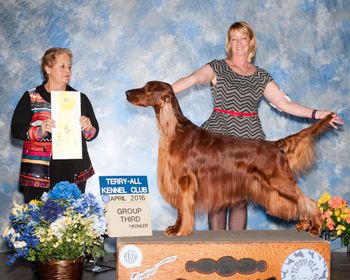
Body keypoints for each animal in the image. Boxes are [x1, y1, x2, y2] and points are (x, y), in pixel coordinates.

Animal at [126, 80, 334, 236]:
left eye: (148, 88)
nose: (127, 92)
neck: (176, 129)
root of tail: (276, 145)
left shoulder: (185, 180)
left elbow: (184, 209)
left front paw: (179, 231)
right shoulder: (180, 181)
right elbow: (180, 209)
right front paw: (175, 228)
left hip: (281, 181)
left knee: (308, 202)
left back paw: (315, 227)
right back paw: (304, 224)